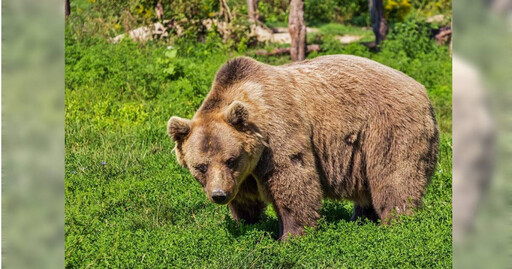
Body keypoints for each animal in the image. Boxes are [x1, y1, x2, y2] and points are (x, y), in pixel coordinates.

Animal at [168, 54, 440, 239]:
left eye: (230, 159)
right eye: (201, 166)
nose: (218, 195)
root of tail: (422, 89)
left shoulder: (278, 134)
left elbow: (293, 181)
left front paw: (291, 236)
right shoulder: (243, 173)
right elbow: (245, 199)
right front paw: (246, 224)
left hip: (387, 128)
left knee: (394, 177)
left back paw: (397, 223)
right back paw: (361, 219)